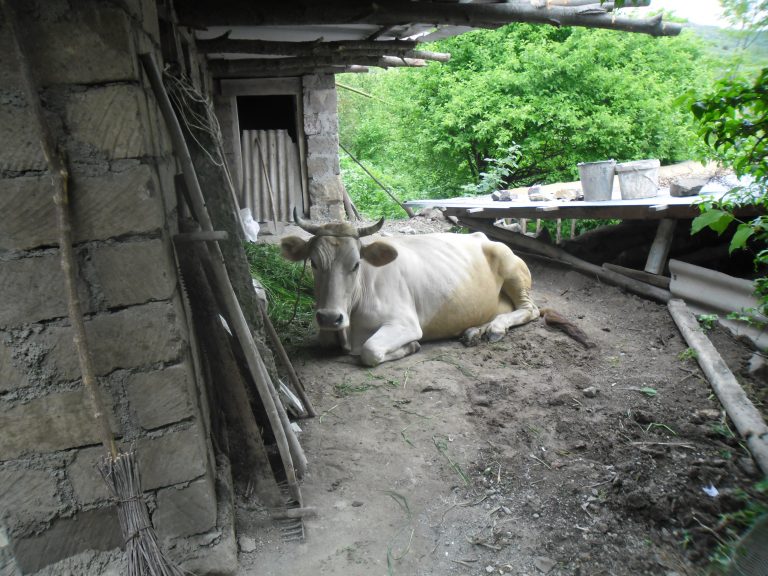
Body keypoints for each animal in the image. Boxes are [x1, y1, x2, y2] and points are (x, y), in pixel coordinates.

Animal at [280, 214, 540, 367]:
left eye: (355, 264)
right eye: (314, 263)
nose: (329, 317)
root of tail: (481, 236)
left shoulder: (405, 323)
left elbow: (370, 351)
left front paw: (411, 346)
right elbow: (325, 340)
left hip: (511, 267)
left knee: (531, 309)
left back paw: (495, 328)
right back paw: (474, 331)